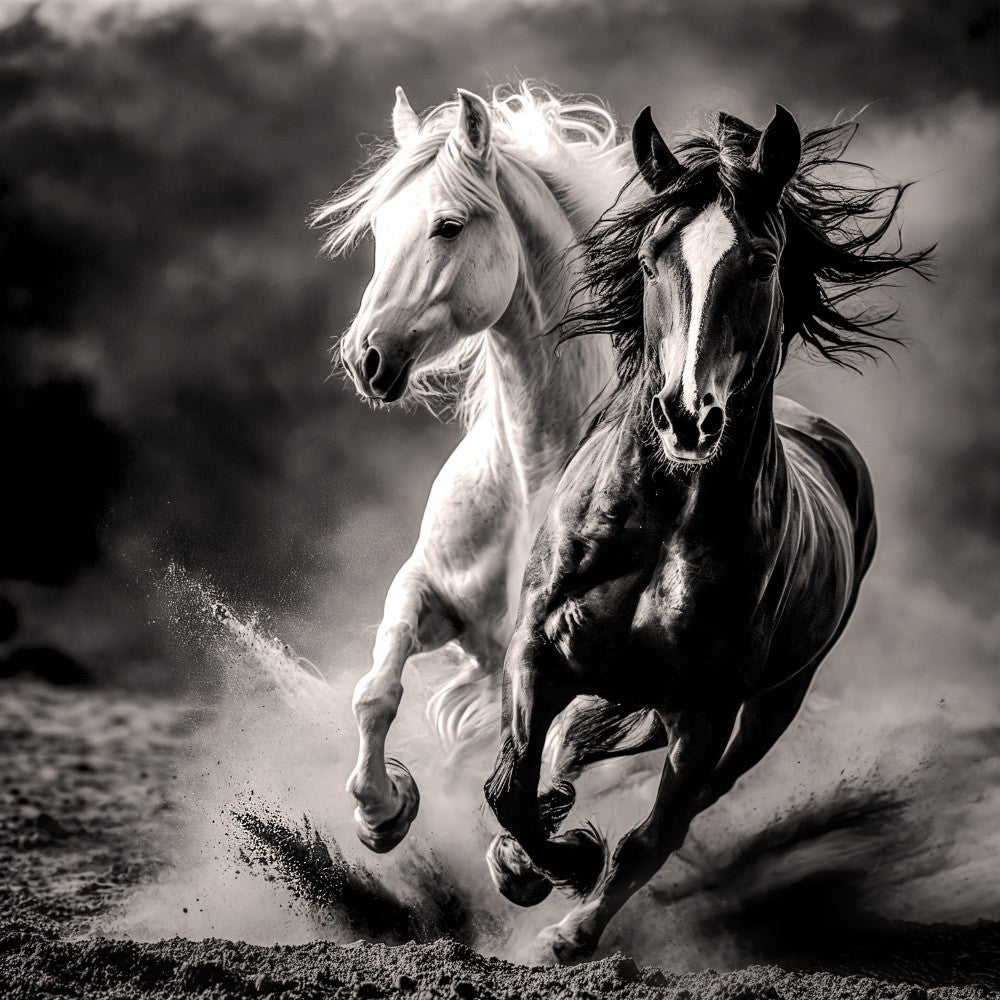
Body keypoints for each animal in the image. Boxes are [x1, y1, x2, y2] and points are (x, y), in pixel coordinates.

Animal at [314, 84, 633, 853]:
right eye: (380, 230)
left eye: (449, 226)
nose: (367, 358)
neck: (531, 477)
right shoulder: (429, 590)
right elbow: (376, 691)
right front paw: (382, 809)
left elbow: (552, 757)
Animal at [484, 103, 931, 963]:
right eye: (651, 258)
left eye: (761, 261)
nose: (688, 418)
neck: (666, 525)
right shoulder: (540, 648)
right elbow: (511, 785)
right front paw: (541, 860)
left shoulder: (706, 712)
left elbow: (650, 837)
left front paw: (571, 924)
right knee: (573, 750)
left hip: (770, 705)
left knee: (688, 802)